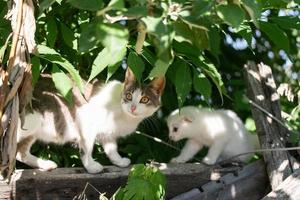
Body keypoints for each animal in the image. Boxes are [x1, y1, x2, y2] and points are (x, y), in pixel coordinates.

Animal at [15, 67, 166, 173]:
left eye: (144, 99)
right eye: (129, 95)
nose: (133, 107)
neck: (125, 116)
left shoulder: (107, 132)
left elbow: (111, 147)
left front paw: (118, 161)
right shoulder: (85, 119)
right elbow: (87, 148)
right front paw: (91, 166)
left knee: (20, 152)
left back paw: (45, 164)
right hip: (31, 120)